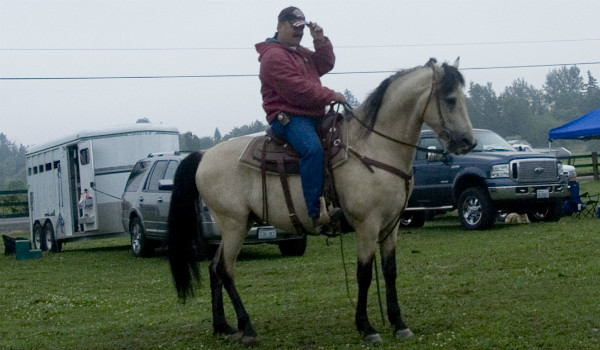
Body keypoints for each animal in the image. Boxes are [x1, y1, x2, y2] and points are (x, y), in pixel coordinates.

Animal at [168, 57, 474, 344]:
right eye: (450, 99)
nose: (468, 142)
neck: (375, 148)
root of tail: (203, 155)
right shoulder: (366, 225)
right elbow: (364, 274)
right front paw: (367, 327)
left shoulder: (391, 225)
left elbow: (389, 271)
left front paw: (399, 324)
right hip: (233, 224)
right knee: (225, 269)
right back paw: (248, 327)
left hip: (238, 225)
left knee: (213, 268)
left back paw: (224, 326)